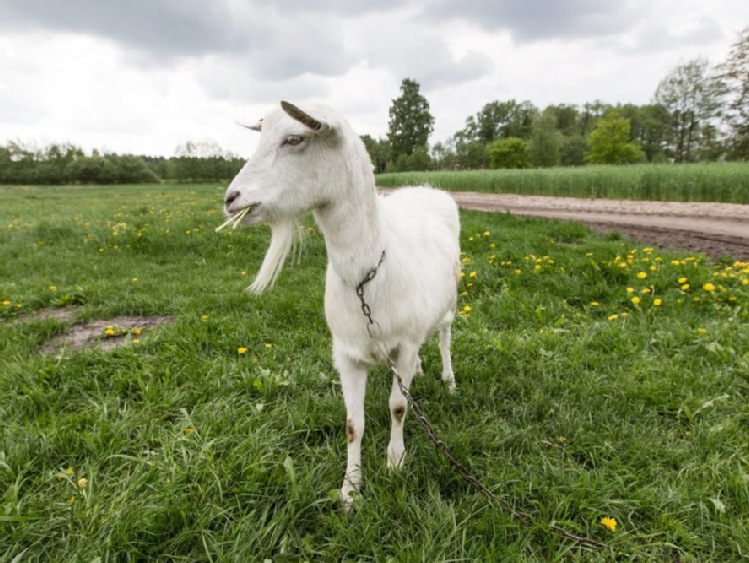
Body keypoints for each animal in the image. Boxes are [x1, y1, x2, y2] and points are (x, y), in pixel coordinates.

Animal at [221, 101, 462, 506]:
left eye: (294, 139)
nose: (231, 199)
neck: (368, 277)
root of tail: (427, 190)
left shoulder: (404, 343)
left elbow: (397, 407)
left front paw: (395, 462)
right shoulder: (346, 354)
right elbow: (353, 424)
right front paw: (350, 488)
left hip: (451, 302)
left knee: (444, 336)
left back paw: (448, 379)